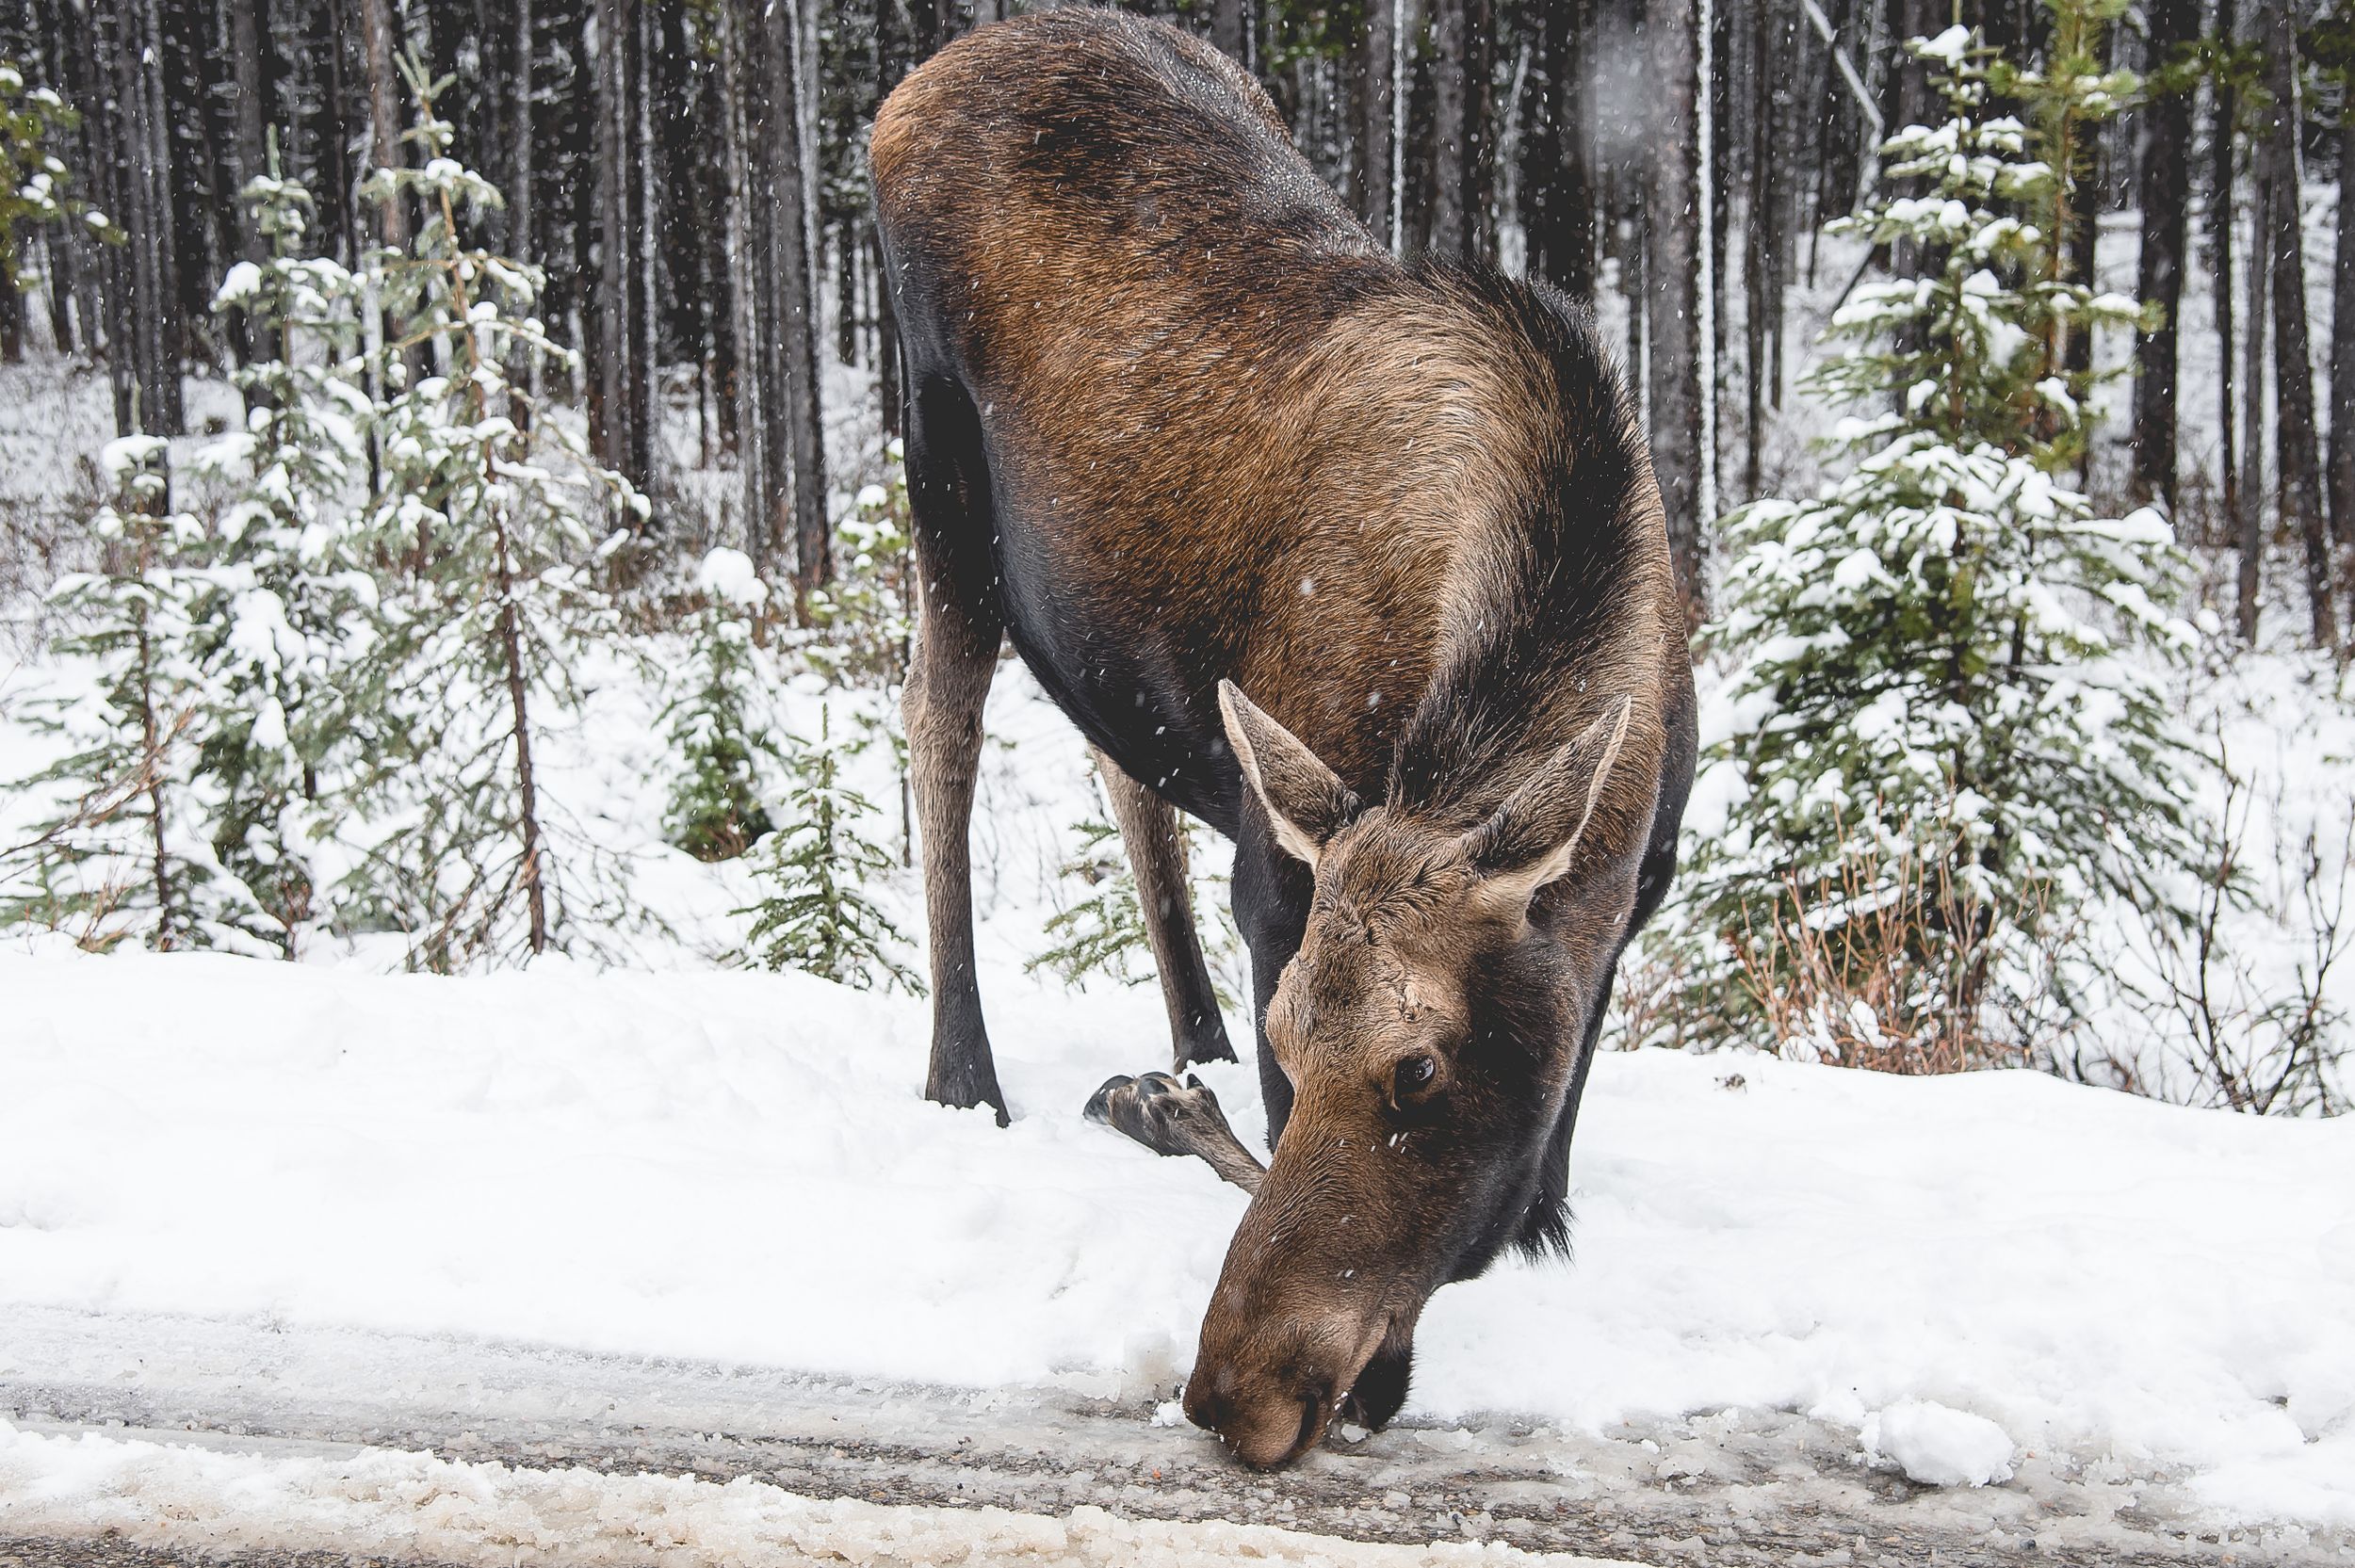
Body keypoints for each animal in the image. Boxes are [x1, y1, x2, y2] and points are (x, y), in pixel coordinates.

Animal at [871, 7, 1696, 1470]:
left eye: (1418, 1068)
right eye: (1299, 1039)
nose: (1227, 1392)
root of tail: (913, 87)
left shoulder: (1623, 909)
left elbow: (1537, 1177)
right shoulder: (1279, 882)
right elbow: (1265, 1140)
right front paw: (1162, 1108)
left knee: (1119, 762)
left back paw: (1184, 1034)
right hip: (941, 476)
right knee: (939, 724)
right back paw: (974, 1076)